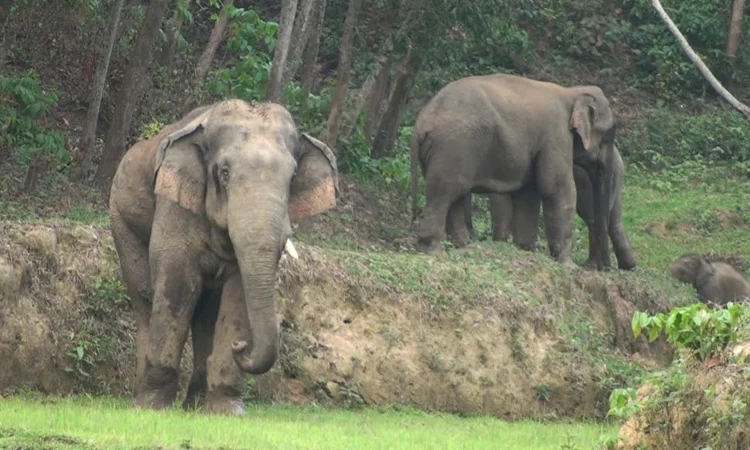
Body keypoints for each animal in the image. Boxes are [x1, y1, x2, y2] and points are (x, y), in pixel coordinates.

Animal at [108, 99, 338, 415]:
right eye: (225, 173)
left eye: (292, 178)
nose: (241, 346)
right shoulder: (176, 202)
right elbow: (178, 282)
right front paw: (154, 408)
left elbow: (237, 293)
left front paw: (228, 411)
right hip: (121, 219)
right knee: (145, 296)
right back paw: (140, 399)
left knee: (205, 314)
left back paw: (194, 405)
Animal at [410, 73, 618, 269]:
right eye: (608, 135)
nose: (605, 268)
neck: (572, 92)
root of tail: (422, 122)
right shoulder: (556, 135)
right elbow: (557, 188)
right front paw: (568, 265)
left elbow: (528, 193)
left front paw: (525, 250)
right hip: (452, 147)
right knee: (444, 193)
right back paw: (433, 251)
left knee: (457, 195)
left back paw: (463, 247)